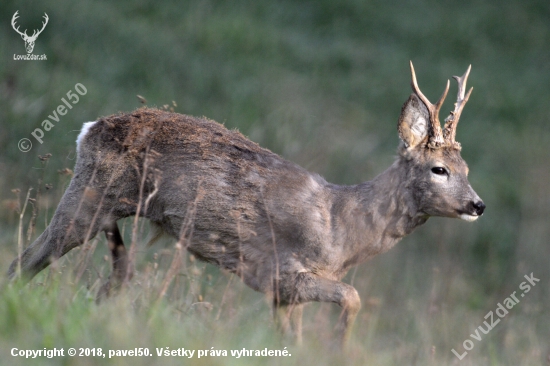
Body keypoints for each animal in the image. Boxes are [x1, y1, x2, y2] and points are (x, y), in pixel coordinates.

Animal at [6, 62, 486, 346]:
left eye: (466, 166)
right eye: (439, 169)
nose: (478, 205)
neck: (343, 229)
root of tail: (89, 129)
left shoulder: (283, 294)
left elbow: (289, 341)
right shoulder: (282, 271)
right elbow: (352, 298)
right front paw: (338, 346)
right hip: (88, 197)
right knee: (25, 259)